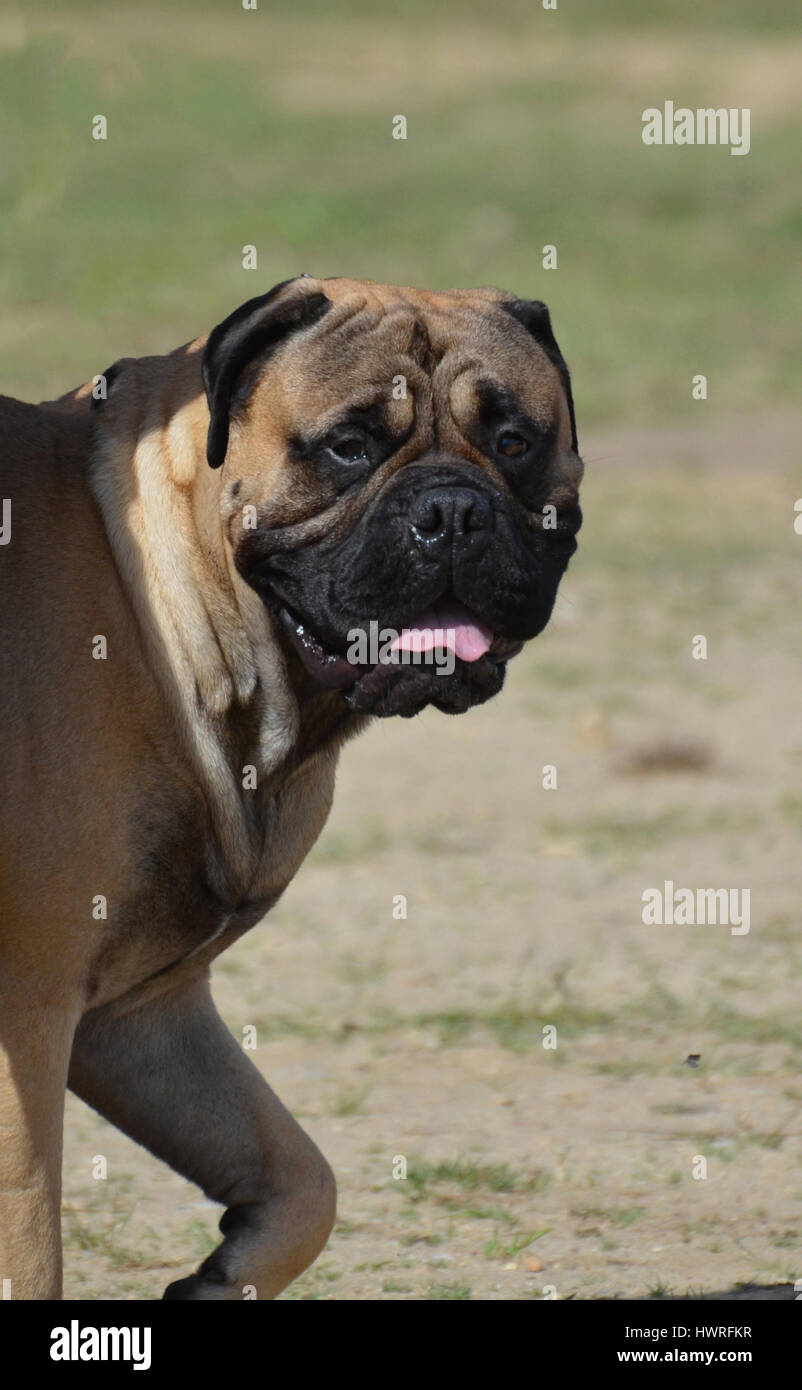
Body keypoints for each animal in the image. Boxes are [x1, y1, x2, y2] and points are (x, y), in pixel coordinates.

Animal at [0, 276, 578, 1295]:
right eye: (349, 446)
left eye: (513, 441)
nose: (451, 512)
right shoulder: (28, 1017)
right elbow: (31, 1241)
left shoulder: (139, 1012)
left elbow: (303, 1178)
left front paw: (224, 1274)